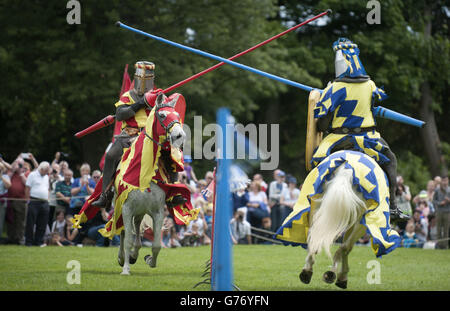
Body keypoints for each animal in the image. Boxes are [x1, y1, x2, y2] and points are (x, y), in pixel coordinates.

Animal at [117, 94, 187, 276]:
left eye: (178, 115)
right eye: (162, 115)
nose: (180, 136)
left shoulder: (157, 212)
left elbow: (156, 245)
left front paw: (150, 260)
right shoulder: (126, 208)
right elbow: (127, 239)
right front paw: (125, 268)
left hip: (140, 211)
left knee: (137, 230)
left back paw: (134, 255)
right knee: (123, 233)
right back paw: (122, 258)